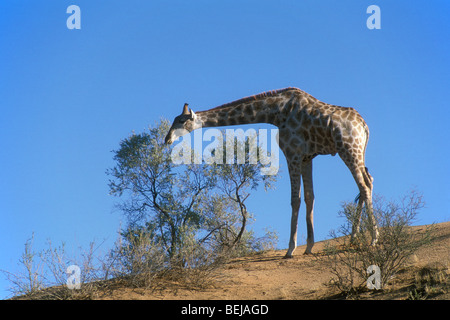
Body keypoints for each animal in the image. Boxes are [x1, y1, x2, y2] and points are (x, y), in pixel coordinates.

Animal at [163, 87, 378, 258]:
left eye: (181, 121)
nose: (166, 139)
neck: (276, 113)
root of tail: (365, 127)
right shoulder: (307, 157)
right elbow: (310, 197)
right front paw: (309, 247)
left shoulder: (292, 153)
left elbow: (295, 199)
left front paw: (290, 250)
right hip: (358, 151)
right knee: (369, 180)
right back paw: (353, 237)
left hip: (348, 149)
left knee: (364, 185)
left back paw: (374, 239)